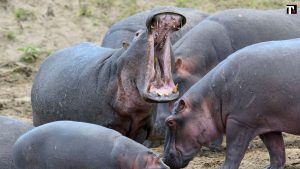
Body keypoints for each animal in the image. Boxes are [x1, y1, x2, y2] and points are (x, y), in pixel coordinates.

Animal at [163, 38, 300, 169]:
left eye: (170, 122)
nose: (164, 159)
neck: (209, 99)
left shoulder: (239, 122)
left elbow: (234, 151)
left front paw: (223, 167)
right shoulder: (264, 122)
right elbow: (275, 149)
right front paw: (269, 167)